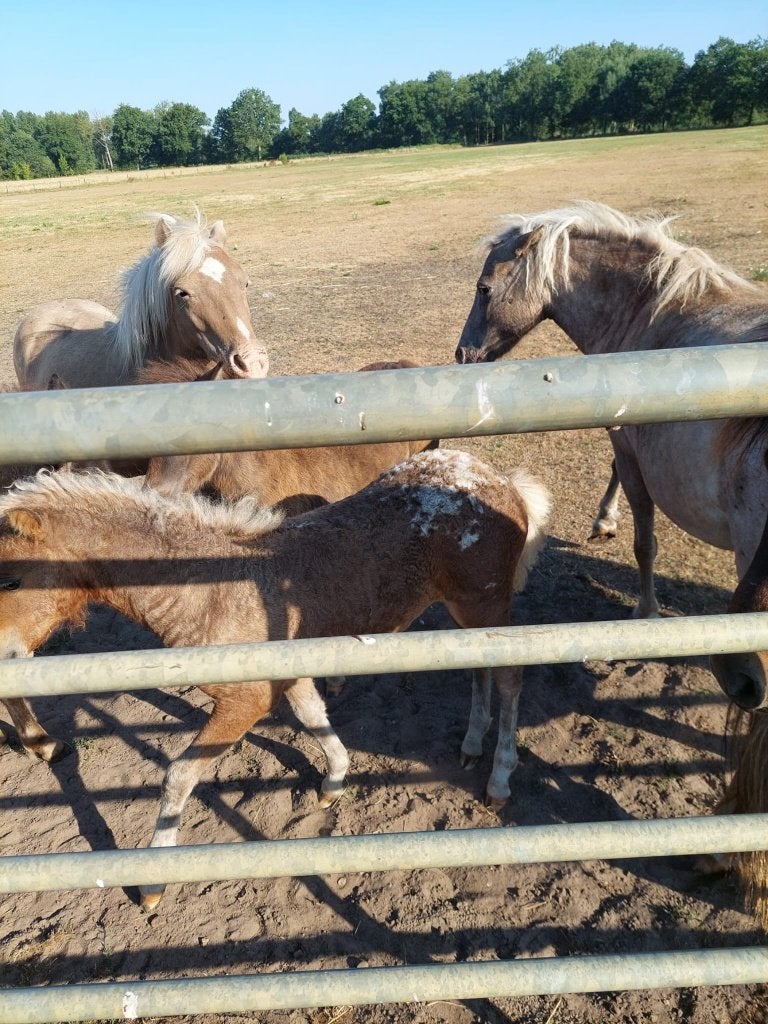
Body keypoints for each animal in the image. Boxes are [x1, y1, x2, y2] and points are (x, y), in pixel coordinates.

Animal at [0, 452, 550, 909]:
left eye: (11, 579)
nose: (6, 657)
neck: (210, 592)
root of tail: (503, 479)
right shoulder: (289, 674)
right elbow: (313, 716)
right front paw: (333, 782)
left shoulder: (244, 702)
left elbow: (179, 774)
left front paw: (153, 883)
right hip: (466, 615)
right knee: (480, 669)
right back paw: (472, 744)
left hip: (485, 604)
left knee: (510, 678)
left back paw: (499, 777)